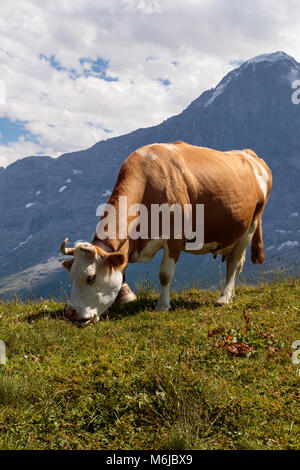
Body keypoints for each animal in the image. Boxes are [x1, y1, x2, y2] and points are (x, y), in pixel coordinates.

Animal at [60, 140, 272, 324]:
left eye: (90, 278)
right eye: (71, 276)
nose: (71, 313)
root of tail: (250, 154)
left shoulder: (175, 237)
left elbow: (164, 274)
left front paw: (162, 306)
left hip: (251, 225)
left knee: (235, 263)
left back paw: (224, 297)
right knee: (234, 264)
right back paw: (231, 293)